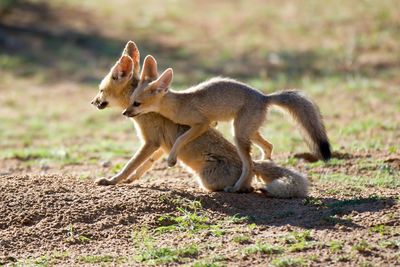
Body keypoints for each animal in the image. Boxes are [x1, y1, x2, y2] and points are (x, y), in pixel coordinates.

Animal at [91, 40, 310, 198]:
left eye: (101, 90)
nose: (94, 102)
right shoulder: (159, 146)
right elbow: (143, 166)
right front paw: (130, 180)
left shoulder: (151, 142)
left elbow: (130, 165)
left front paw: (112, 180)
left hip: (217, 164)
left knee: (247, 180)